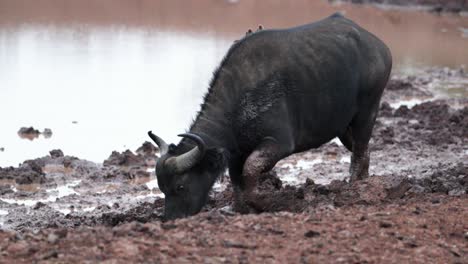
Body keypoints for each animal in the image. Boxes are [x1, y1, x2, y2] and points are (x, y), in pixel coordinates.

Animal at [148, 13, 394, 221]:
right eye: (162, 188)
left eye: (180, 187)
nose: (170, 219)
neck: (238, 104)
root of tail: (380, 47)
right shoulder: (236, 153)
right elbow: (237, 179)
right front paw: (241, 208)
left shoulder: (279, 143)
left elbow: (250, 170)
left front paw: (261, 203)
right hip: (343, 127)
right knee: (364, 150)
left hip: (367, 112)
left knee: (360, 150)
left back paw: (354, 187)